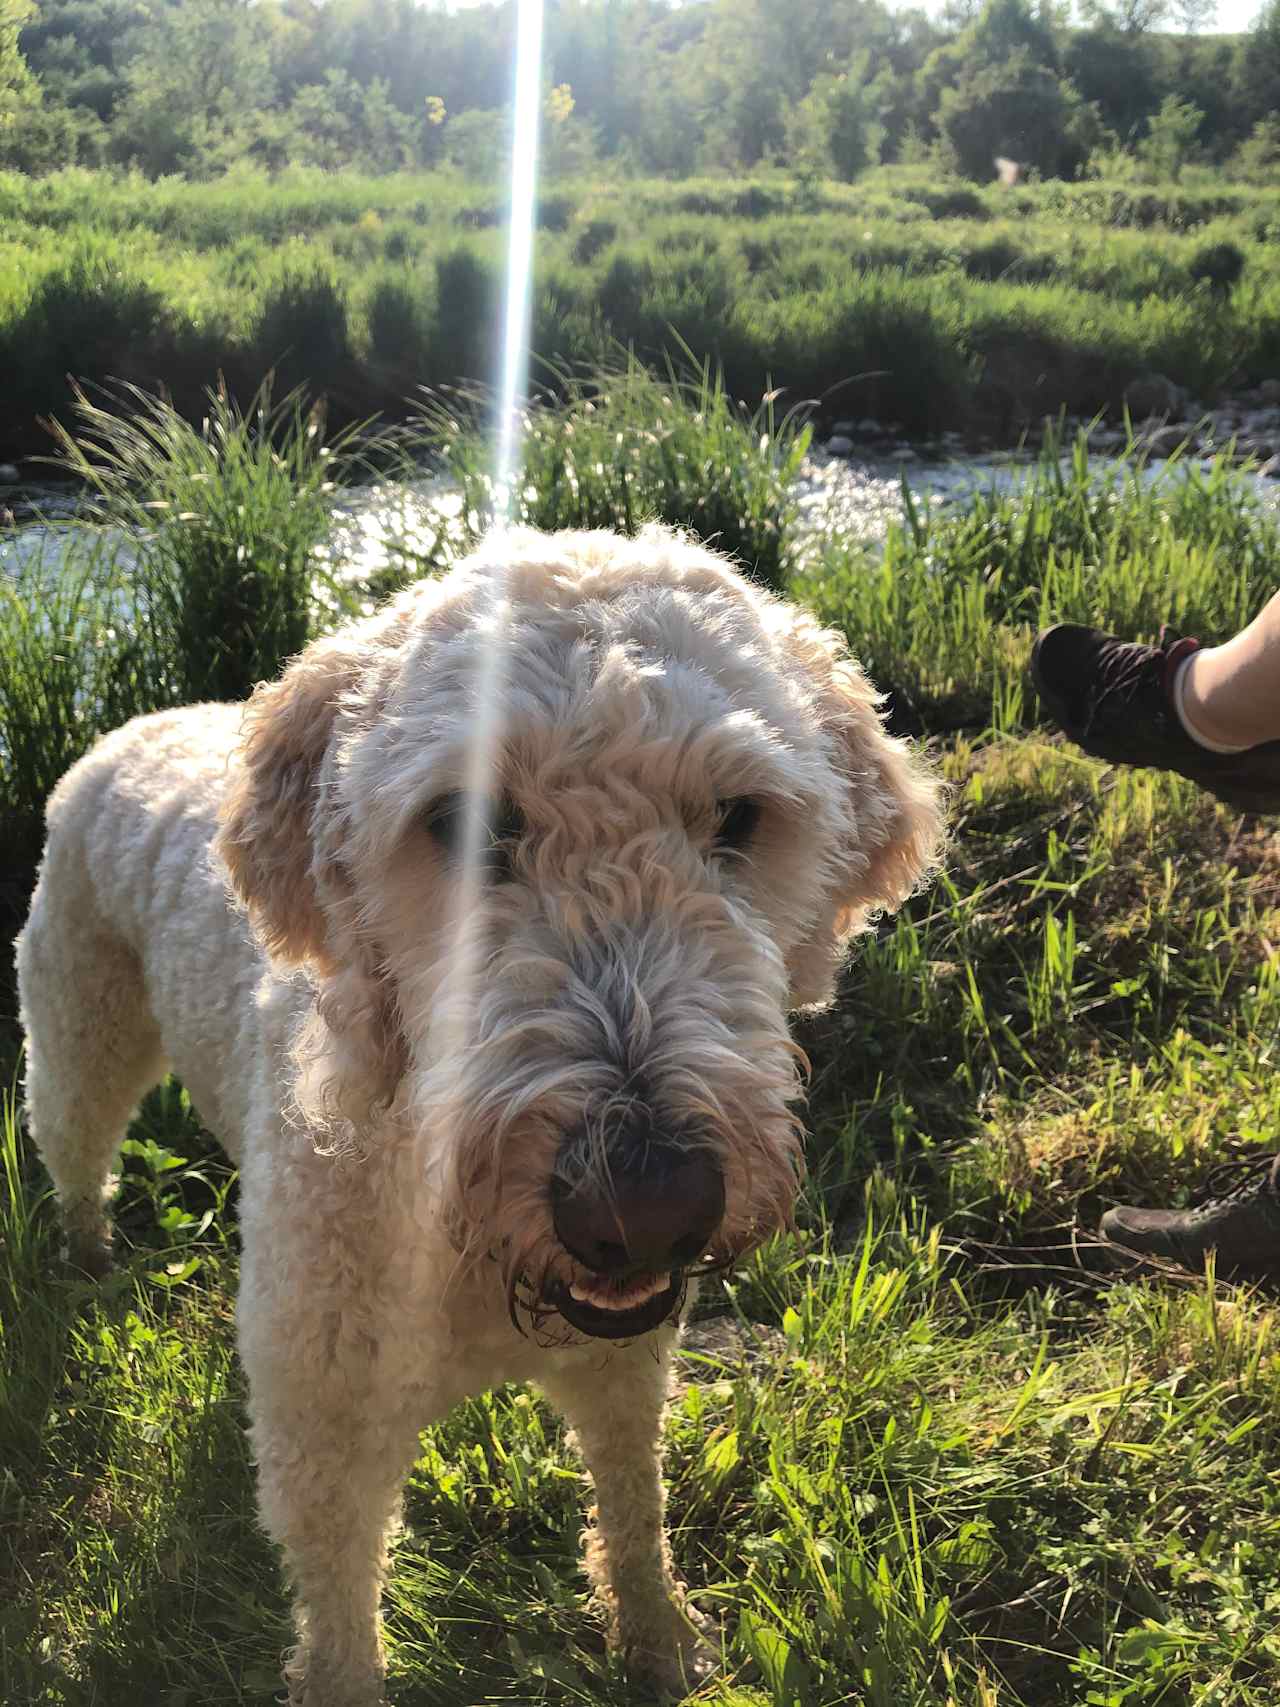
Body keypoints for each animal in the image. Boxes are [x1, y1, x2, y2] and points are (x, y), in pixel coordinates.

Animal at [15, 525, 948, 1700]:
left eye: (737, 817)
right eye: (454, 824)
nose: (643, 1206)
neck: (448, 1216)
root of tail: (143, 720)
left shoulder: (622, 1364)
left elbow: (633, 1509)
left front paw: (658, 1638)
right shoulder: (326, 1430)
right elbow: (338, 1619)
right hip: (78, 1030)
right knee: (75, 1148)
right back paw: (88, 1258)